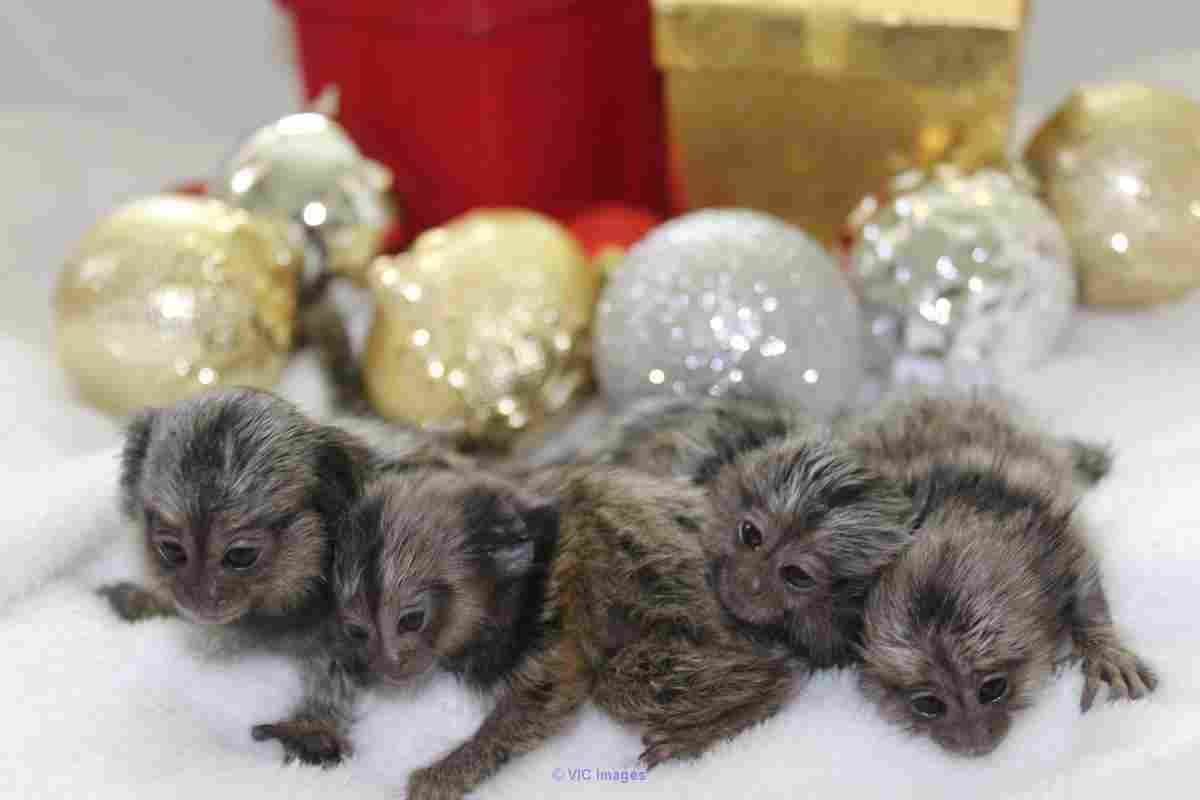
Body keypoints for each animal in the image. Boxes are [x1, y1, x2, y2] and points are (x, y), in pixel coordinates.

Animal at [332, 464, 802, 800]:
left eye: (410, 621)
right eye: (359, 633)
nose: (387, 662)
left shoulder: (555, 609)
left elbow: (548, 698)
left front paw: (448, 773)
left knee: (620, 681)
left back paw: (753, 700)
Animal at [846, 391, 1157, 757]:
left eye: (992, 689)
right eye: (928, 705)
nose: (975, 743)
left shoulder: (1046, 534)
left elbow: (1082, 568)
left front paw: (1103, 649)